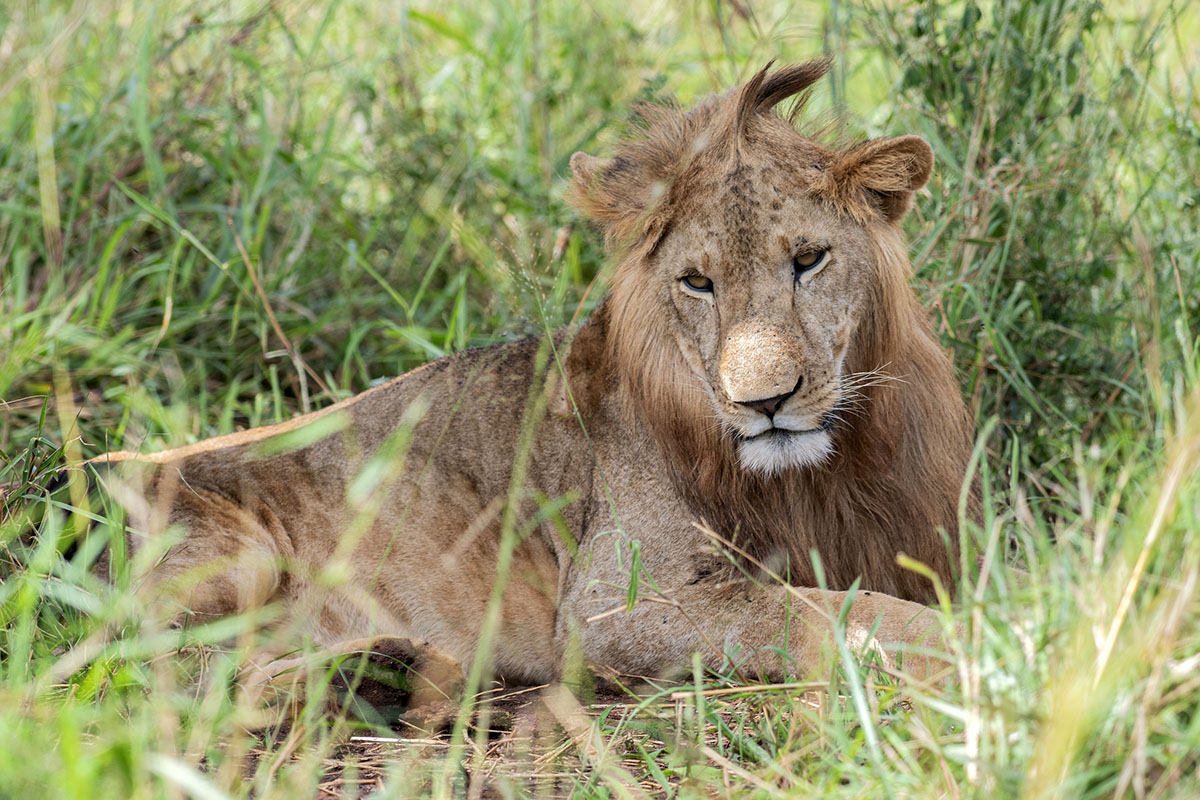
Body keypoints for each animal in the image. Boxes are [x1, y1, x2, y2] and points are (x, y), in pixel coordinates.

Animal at [82, 59, 974, 714]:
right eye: (697, 282)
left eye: (809, 260)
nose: (766, 402)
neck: (819, 472)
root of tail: (93, 474)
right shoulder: (610, 610)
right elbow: (812, 607)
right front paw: (971, 646)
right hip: (233, 554)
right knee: (168, 681)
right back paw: (373, 669)